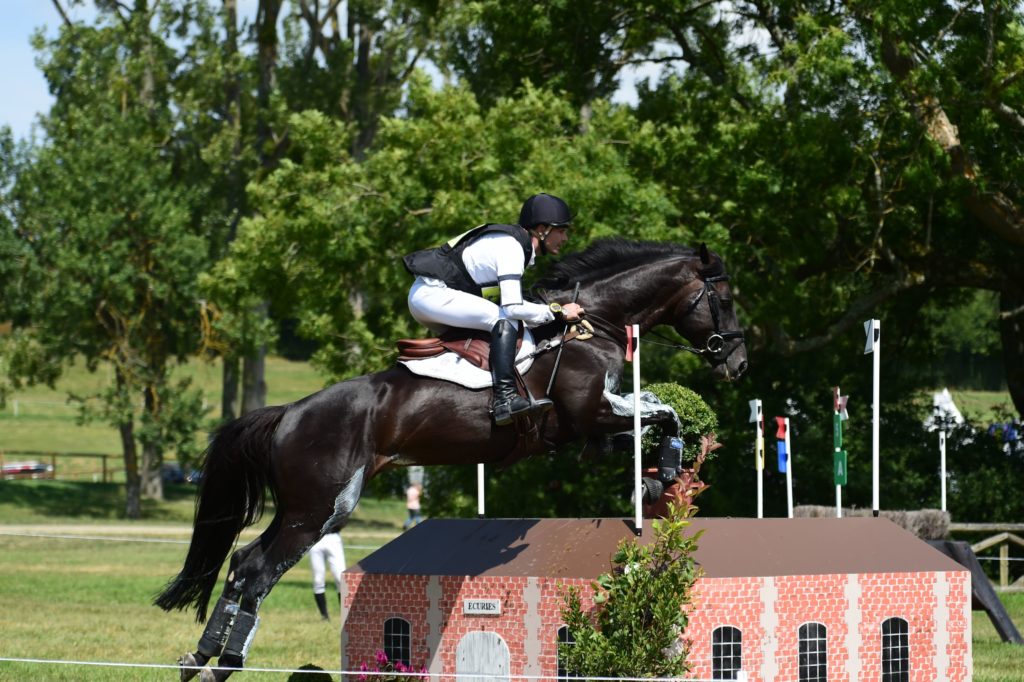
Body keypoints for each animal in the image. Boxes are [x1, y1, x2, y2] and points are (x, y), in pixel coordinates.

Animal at [153, 236, 745, 675]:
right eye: (725, 298)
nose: (736, 363)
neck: (588, 324)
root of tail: (290, 412)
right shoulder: (592, 415)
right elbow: (664, 413)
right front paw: (664, 474)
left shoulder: (591, 431)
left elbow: (659, 413)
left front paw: (658, 477)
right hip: (319, 509)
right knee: (257, 572)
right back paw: (224, 662)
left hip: (303, 508)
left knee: (241, 562)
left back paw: (199, 658)